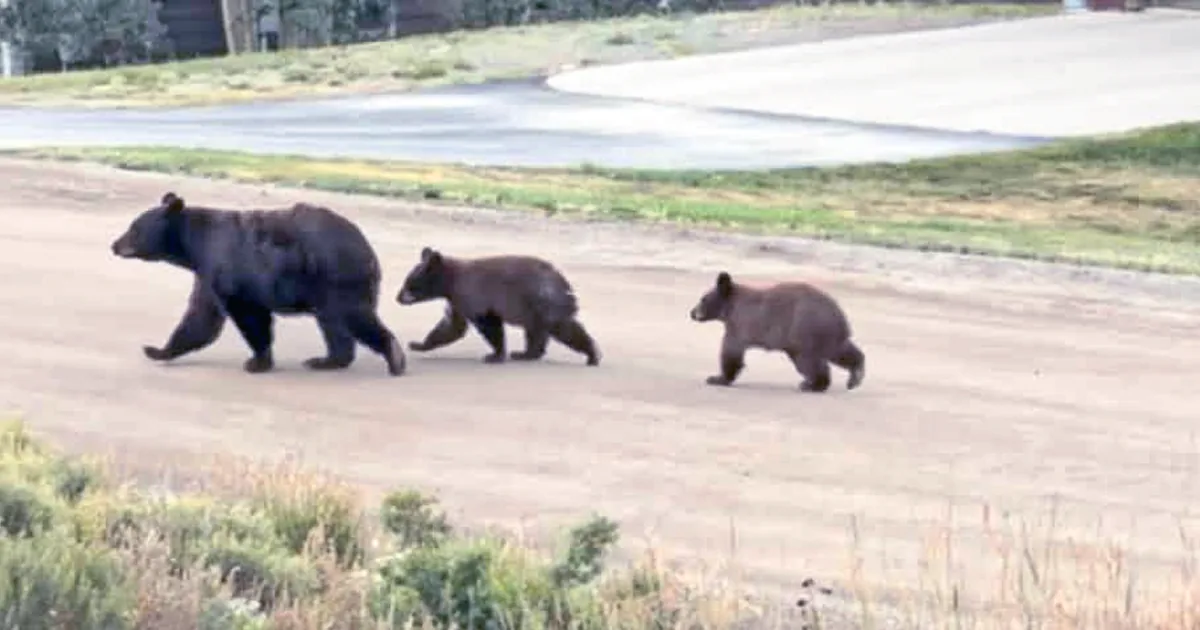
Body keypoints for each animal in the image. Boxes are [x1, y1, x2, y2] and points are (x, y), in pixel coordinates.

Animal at [109, 192, 407, 376]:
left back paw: (394, 357)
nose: (115, 244)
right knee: (333, 324)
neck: (194, 245)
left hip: (335, 278)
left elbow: (248, 315)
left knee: (352, 316)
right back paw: (326, 360)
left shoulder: (229, 268)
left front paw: (257, 361)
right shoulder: (208, 274)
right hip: (327, 288)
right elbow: (200, 316)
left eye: (134, 228)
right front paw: (158, 351)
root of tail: (368, 250)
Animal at [395, 246, 601, 366]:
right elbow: (451, 326)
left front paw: (495, 355)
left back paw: (593, 355)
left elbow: (488, 324)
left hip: (545, 302)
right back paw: (526, 354)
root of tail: (564, 283)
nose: (398, 298)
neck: (450, 282)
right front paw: (419, 344)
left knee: (564, 328)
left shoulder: (472, 294)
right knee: (536, 332)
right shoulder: (457, 301)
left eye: (410, 284)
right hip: (534, 309)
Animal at [688, 271, 864, 392]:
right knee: (841, 351)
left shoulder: (740, 324)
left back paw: (813, 384)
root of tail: (839, 315)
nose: (692, 313)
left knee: (809, 361)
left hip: (803, 332)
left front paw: (717, 378)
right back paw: (855, 376)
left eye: (703, 299)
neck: (731, 307)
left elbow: (731, 351)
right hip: (827, 334)